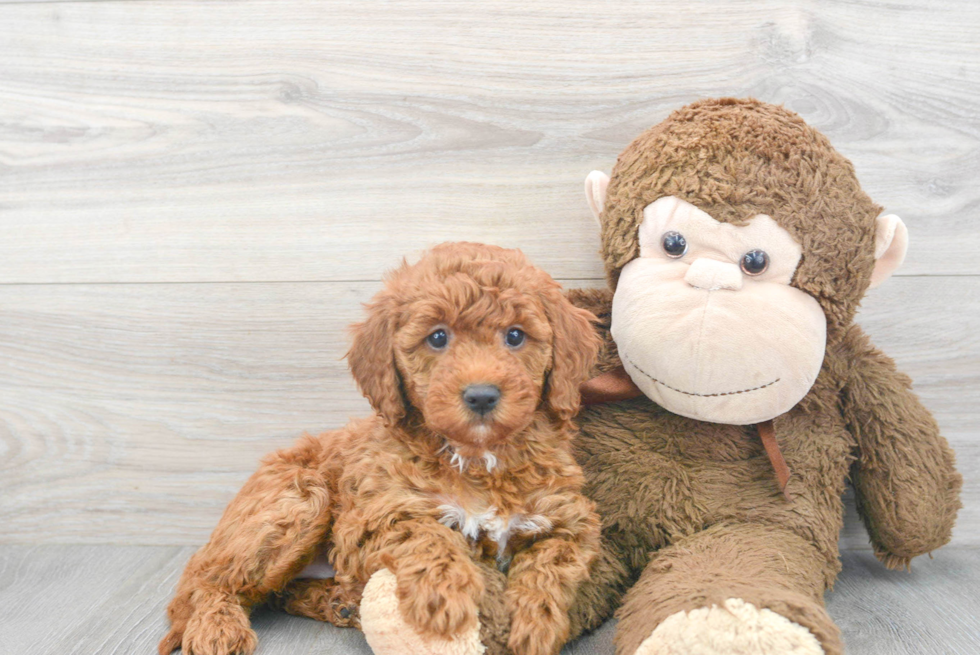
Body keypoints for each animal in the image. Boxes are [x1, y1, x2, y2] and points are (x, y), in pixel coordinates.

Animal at [160, 243, 600, 655]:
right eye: (437, 337)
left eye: (515, 335)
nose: (481, 396)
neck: (478, 456)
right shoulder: (373, 517)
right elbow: (430, 536)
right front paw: (450, 600)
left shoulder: (570, 521)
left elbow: (549, 566)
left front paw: (534, 626)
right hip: (295, 502)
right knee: (204, 581)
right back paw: (217, 628)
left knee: (276, 593)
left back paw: (339, 603)